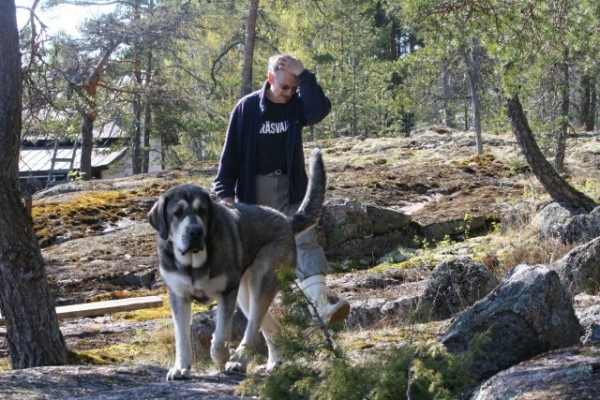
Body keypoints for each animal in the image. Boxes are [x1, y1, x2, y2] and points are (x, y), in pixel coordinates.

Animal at [148, 148, 326, 380]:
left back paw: (238, 360)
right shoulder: (179, 297)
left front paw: (223, 356)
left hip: (261, 280)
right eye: (177, 213)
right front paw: (181, 367)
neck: (193, 263)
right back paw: (272, 362)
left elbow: (220, 336)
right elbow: (182, 337)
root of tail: (286, 220)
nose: (195, 232)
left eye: (203, 210)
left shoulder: (226, 294)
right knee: (270, 327)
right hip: (245, 295)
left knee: (253, 328)